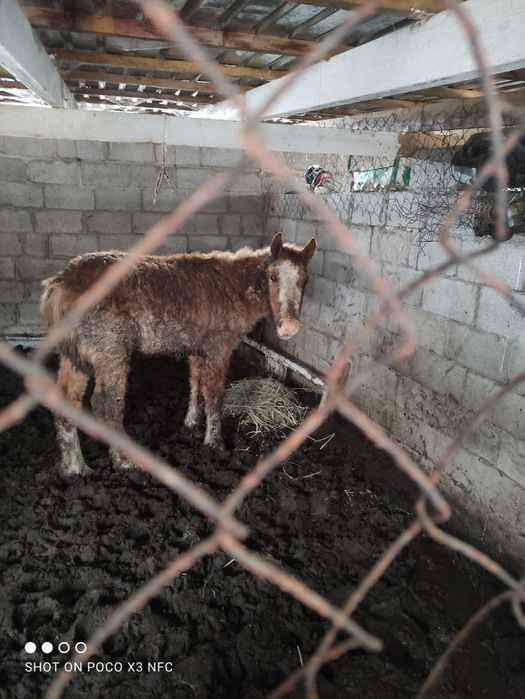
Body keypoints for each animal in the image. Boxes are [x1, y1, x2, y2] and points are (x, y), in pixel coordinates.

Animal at [40, 232, 316, 475]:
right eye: (272, 276)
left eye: (304, 280)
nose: (289, 327)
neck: (233, 286)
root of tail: (61, 285)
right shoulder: (219, 349)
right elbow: (214, 395)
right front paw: (215, 444)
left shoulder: (197, 349)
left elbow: (196, 385)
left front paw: (191, 424)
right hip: (111, 353)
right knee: (106, 404)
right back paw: (124, 462)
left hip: (76, 357)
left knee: (67, 400)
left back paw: (75, 468)